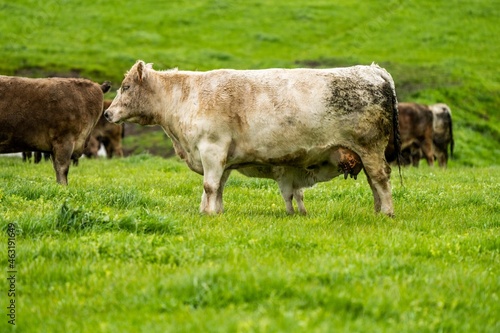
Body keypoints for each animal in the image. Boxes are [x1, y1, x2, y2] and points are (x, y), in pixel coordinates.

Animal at [105, 60, 402, 215]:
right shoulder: (221, 157)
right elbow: (218, 186)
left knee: (380, 178)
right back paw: (377, 210)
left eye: (126, 87)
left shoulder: (212, 148)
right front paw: (214, 211)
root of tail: (374, 69)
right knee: (373, 181)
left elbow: (209, 186)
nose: (107, 113)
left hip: (370, 146)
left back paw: (387, 212)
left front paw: (209, 213)